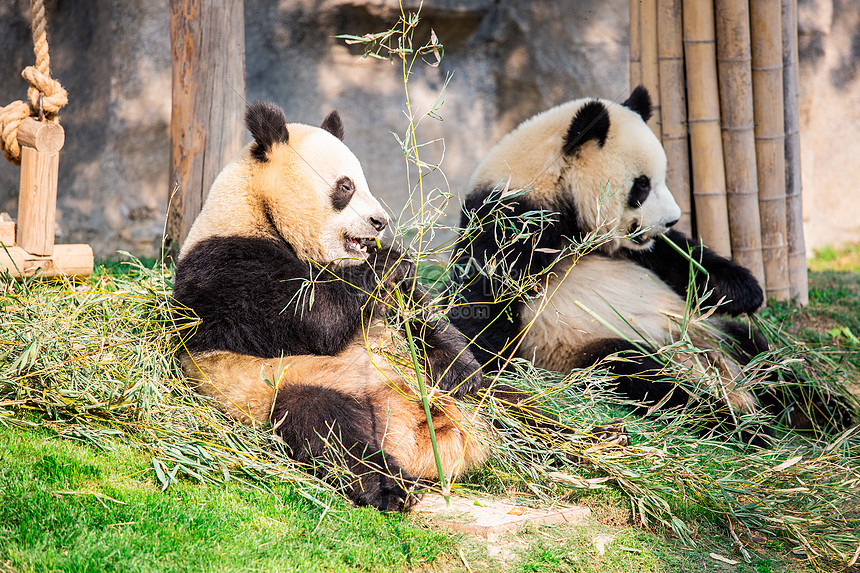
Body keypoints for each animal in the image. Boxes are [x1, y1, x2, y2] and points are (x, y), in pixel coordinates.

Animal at [171, 100, 488, 512]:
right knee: (327, 426)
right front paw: (389, 258)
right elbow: (315, 320)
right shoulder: (226, 265)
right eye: (346, 186)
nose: (380, 222)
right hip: (285, 386)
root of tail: (423, 439)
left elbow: (417, 314)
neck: (259, 210)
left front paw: (459, 369)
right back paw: (392, 489)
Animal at [454, 86, 848, 442]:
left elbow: (679, 259)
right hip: (587, 348)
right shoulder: (512, 221)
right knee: (647, 377)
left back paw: (823, 413)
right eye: (641, 186)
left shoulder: (633, 247)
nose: (672, 219)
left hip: (712, 332)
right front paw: (488, 368)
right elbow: (485, 299)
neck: (552, 185)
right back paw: (740, 423)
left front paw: (744, 290)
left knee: (767, 357)